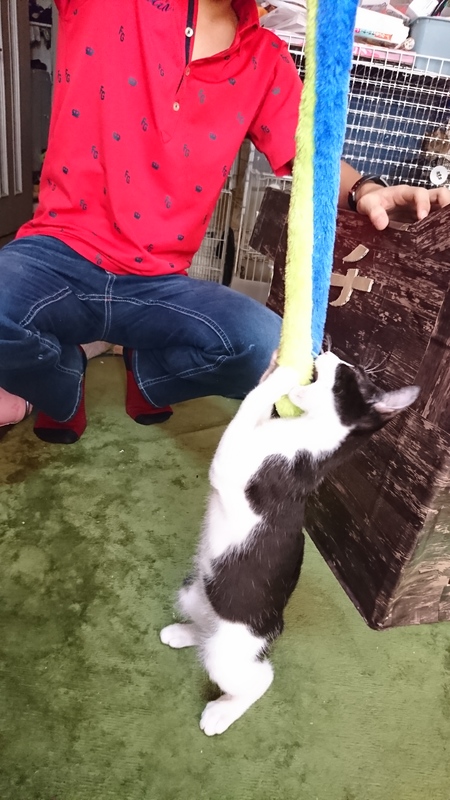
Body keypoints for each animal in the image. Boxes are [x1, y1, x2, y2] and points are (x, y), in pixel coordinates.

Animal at [160, 349, 419, 736]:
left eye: (350, 372)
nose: (329, 352)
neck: (304, 436)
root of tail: (272, 628)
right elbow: (253, 406)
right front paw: (272, 367)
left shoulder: (238, 466)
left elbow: (248, 406)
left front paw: (281, 374)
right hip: (194, 592)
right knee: (207, 631)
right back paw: (185, 633)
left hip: (228, 652)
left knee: (259, 678)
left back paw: (222, 712)